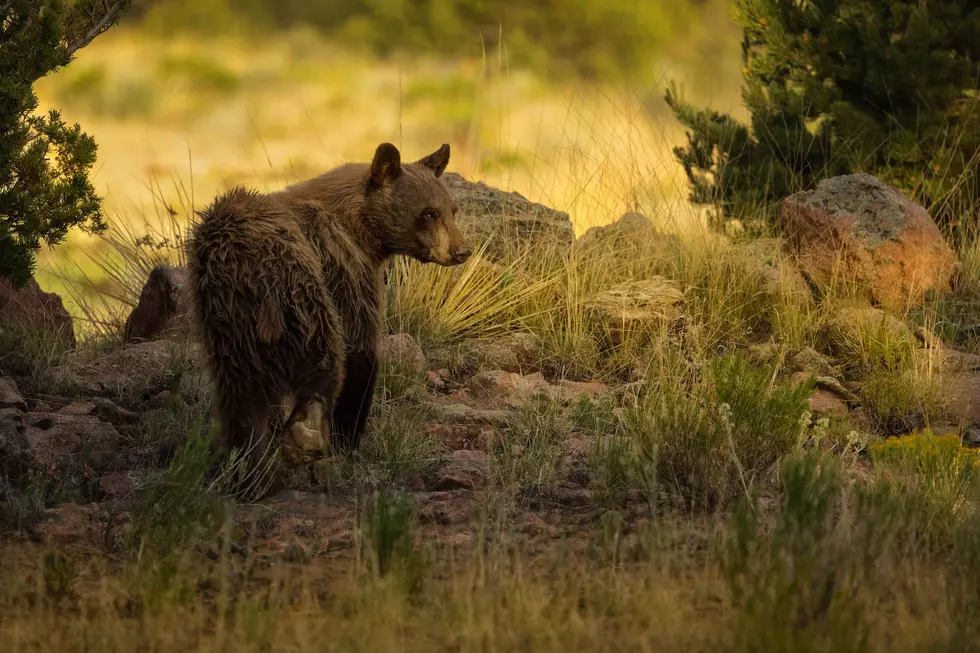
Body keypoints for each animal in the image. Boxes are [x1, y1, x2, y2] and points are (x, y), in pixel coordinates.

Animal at [186, 142, 471, 496]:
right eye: (428, 213)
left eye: (451, 210)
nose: (461, 250)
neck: (361, 228)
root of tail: (249, 267)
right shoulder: (346, 267)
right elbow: (361, 348)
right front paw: (347, 437)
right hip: (302, 292)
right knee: (322, 351)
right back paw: (305, 432)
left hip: (226, 326)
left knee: (238, 397)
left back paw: (250, 474)